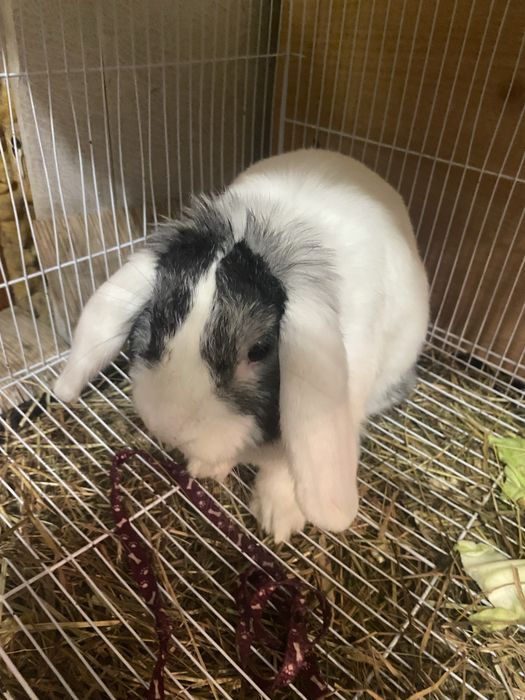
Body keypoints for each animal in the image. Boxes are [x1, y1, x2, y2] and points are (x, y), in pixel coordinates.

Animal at [54, 149, 429, 543]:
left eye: (259, 350)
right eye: (156, 317)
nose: (170, 427)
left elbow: (289, 462)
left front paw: (277, 520)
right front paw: (206, 468)